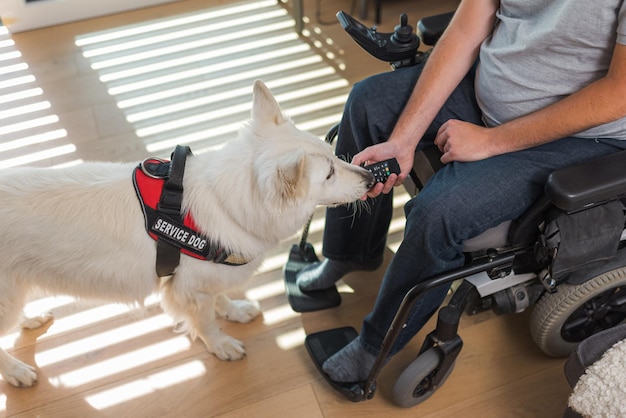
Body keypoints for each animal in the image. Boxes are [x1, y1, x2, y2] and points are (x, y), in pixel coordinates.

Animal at [0, 80, 372, 386]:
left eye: (332, 155)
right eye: (328, 174)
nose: (370, 178)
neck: (224, 201)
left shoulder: (205, 277)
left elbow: (220, 299)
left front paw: (234, 312)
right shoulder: (189, 290)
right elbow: (205, 322)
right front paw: (220, 344)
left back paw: (29, 321)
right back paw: (16, 371)